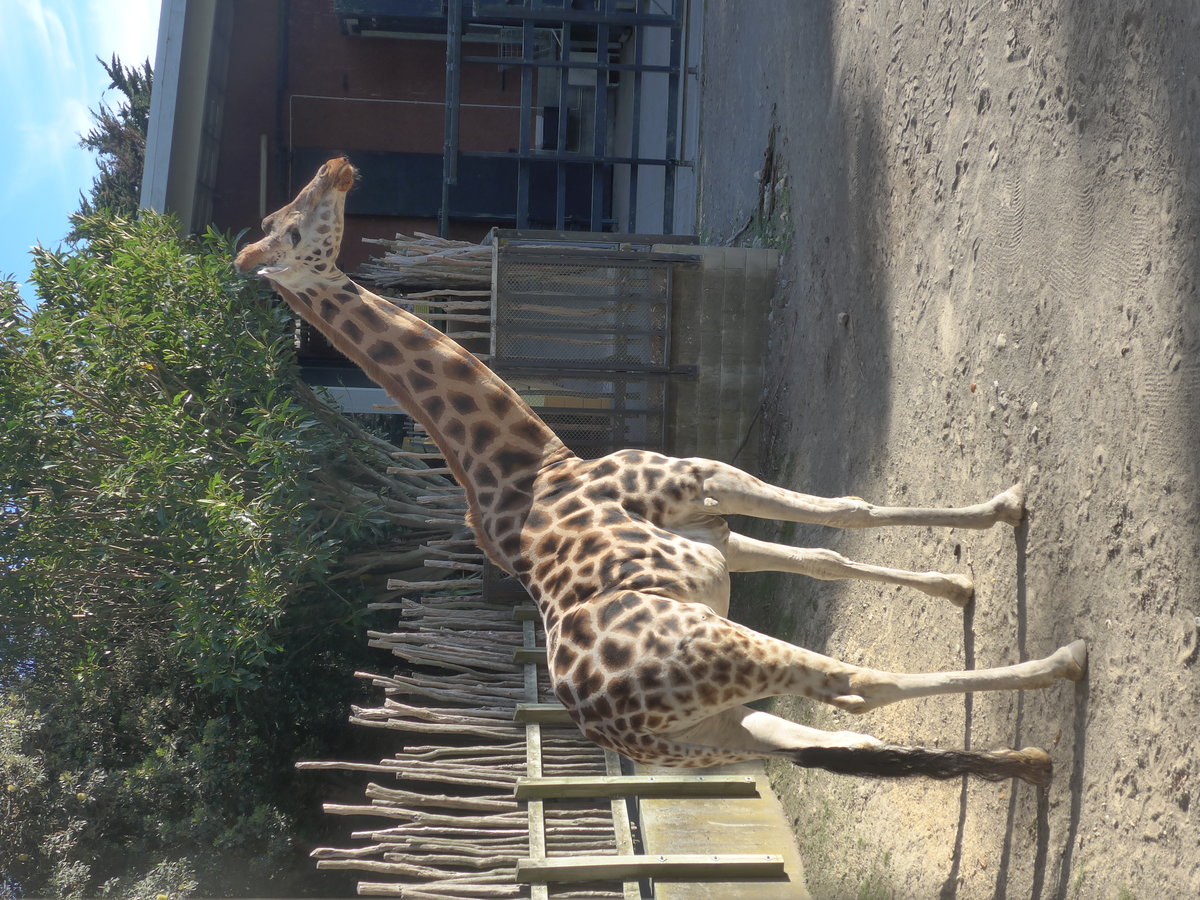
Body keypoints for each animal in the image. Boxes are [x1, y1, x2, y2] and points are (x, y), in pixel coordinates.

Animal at [235, 158, 1086, 786]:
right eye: (294, 226)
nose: (339, 168)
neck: (527, 464)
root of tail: (618, 732)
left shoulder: (715, 534)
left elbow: (825, 551)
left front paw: (959, 582)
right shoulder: (703, 475)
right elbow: (847, 514)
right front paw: (1004, 512)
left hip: (715, 731)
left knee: (853, 747)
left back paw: (1030, 762)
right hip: (722, 655)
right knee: (859, 689)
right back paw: (1063, 667)